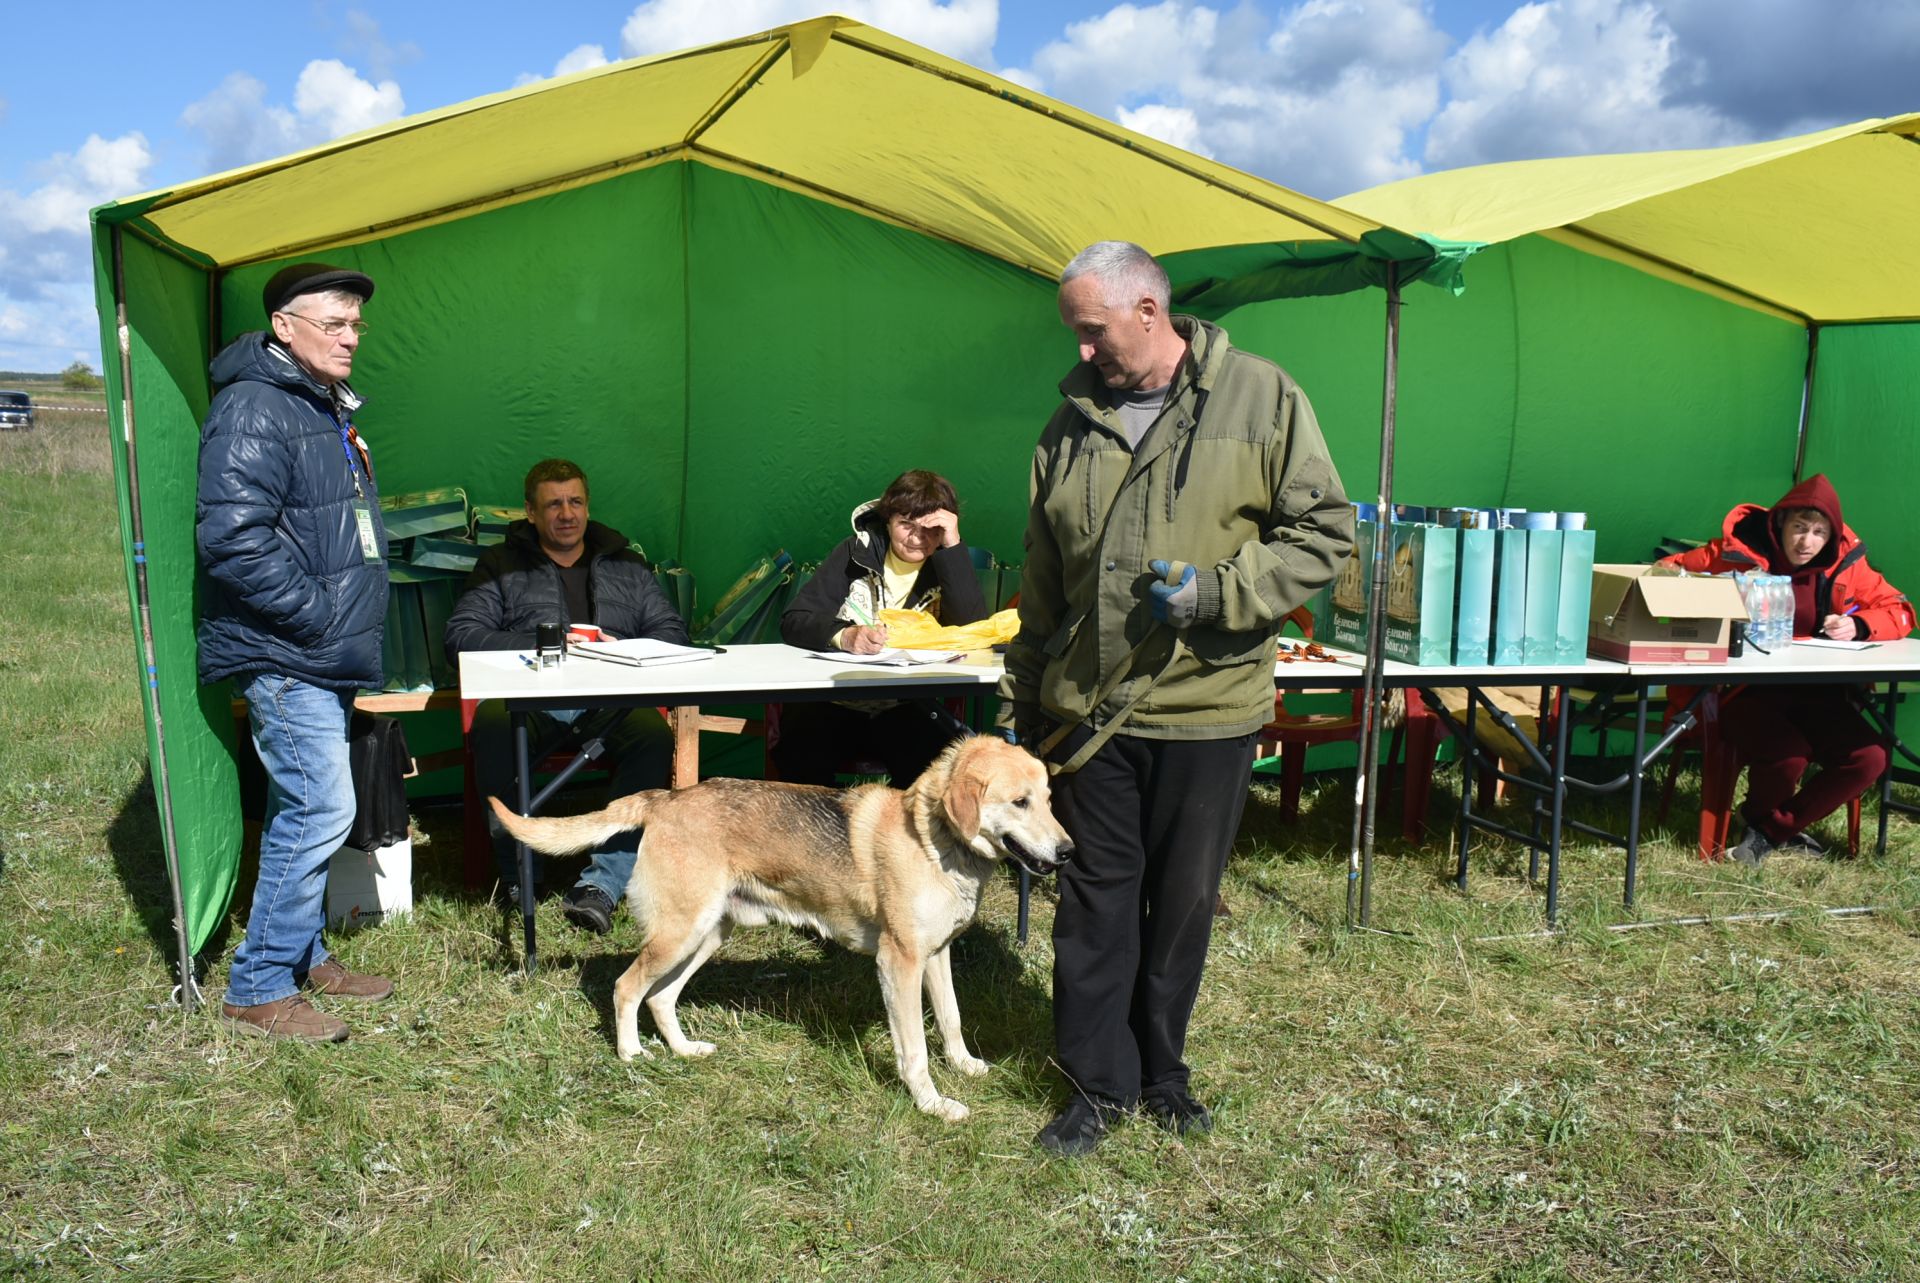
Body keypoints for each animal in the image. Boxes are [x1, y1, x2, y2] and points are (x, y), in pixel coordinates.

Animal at [487, 737, 1075, 1113]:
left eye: (1049, 801)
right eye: (1019, 803)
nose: (1069, 852)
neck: (935, 842)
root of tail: (667, 797)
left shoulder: (935, 957)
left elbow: (950, 1022)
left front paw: (966, 1067)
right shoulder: (900, 963)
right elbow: (914, 1051)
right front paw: (931, 1104)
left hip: (706, 937)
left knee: (660, 997)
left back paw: (684, 1051)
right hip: (679, 934)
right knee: (626, 988)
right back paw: (633, 1055)